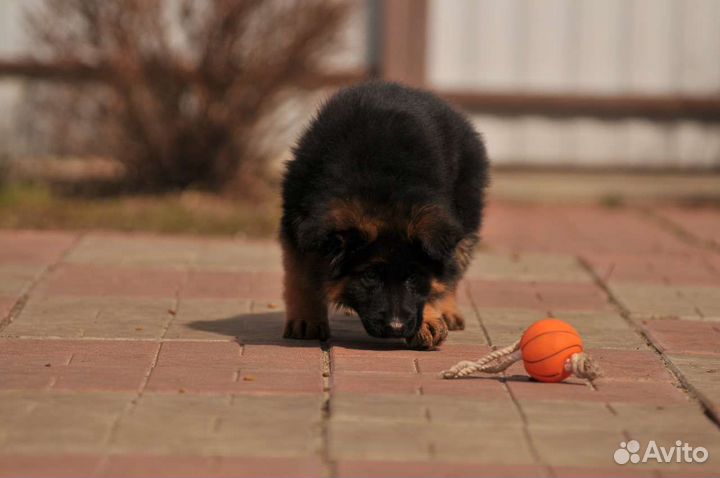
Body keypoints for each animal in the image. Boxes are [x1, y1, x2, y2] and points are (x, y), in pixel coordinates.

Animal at [278, 82, 486, 350]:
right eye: (370, 276)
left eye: (413, 277)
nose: (395, 328)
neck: (382, 189)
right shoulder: (300, 225)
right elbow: (301, 275)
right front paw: (306, 320)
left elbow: (433, 285)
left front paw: (429, 320)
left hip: (465, 216)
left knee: (453, 268)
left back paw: (448, 310)